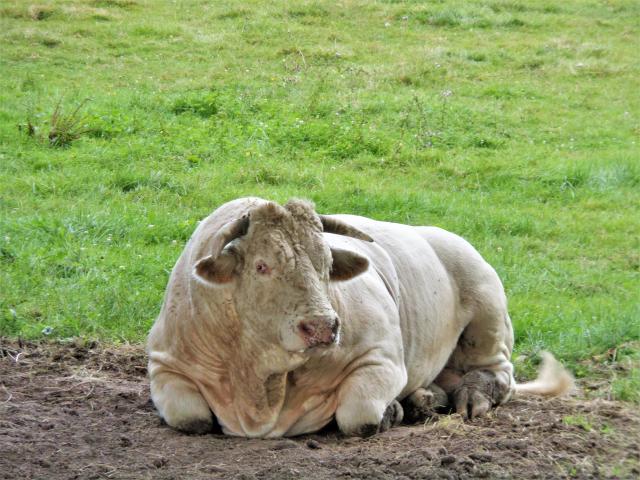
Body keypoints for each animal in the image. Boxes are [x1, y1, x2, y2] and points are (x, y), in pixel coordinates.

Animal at [146, 197, 568, 436]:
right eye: (262, 266)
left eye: (327, 263)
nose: (323, 326)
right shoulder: (164, 363)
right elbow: (191, 418)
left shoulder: (382, 357)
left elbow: (358, 413)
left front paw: (390, 412)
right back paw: (425, 397)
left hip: (487, 306)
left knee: (499, 372)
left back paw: (470, 395)